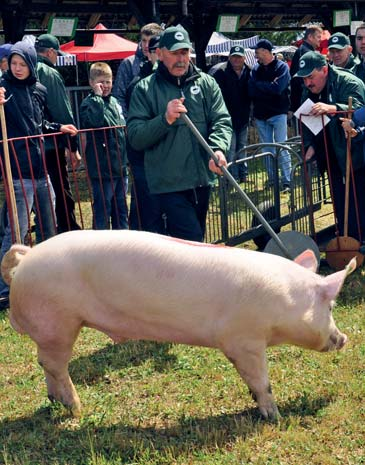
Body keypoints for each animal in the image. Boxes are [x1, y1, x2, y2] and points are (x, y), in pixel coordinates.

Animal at [0, 230, 352, 418]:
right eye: (330, 305)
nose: (344, 338)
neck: (283, 302)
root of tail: (29, 255)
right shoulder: (244, 341)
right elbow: (260, 381)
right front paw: (273, 416)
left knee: (46, 365)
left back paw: (57, 403)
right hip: (58, 323)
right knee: (53, 364)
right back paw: (76, 409)